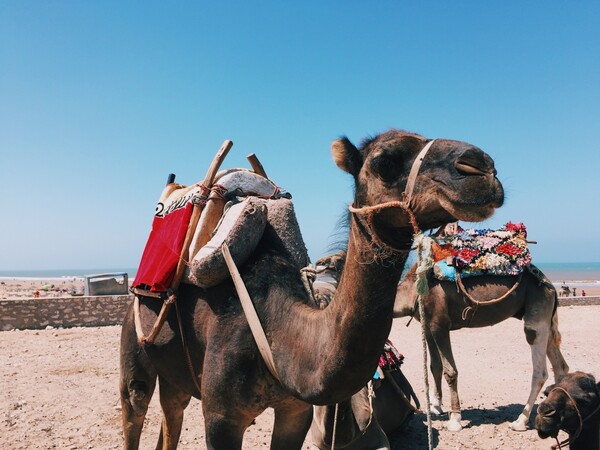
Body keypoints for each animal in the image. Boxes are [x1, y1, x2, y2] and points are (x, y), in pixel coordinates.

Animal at [119, 128, 504, 448]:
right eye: (384, 161)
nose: (482, 167)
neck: (279, 331)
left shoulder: (295, 411)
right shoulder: (221, 417)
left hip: (175, 375)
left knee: (172, 413)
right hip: (134, 342)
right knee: (135, 408)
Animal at [396, 264, 568, 432]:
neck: (412, 290)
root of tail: (551, 287)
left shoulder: (440, 324)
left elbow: (450, 371)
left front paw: (455, 420)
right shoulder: (427, 325)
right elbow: (435, 367)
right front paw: (435, 406)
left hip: (536, 315)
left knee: (540, 372)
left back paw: (520, 421)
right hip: (545, 319)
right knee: (560, 367)